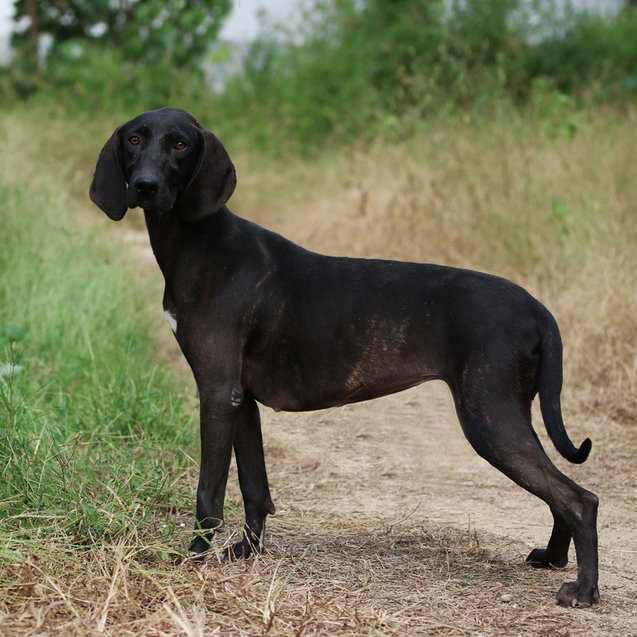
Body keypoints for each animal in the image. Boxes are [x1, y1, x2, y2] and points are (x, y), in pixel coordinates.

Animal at [89, 108, 596, 608]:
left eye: (180, 144)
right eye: (134, 139)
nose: (146, 186)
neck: (200, 243)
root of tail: (535, 306)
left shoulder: (215, 392)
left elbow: (209, 492)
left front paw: (193, 557)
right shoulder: (240, 399)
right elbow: (255, 488)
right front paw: (246, 553)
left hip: (489, 418)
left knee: (580, 498)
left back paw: (584, 590)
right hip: (504, 414)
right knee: (562, 496)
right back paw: (553, 559)